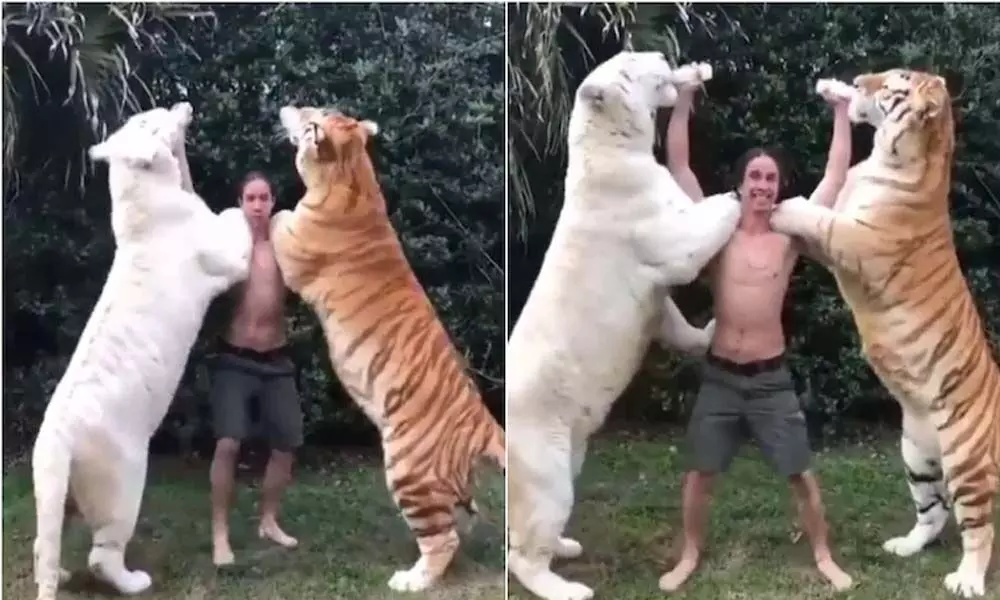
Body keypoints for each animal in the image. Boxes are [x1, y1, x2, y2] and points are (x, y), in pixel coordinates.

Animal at [30, 102, 252, 600]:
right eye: (152, 117)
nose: (181, 104)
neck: (141, 199)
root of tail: (56, 437)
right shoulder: (226, 259)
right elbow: (233, 221)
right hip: (125, 482)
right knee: (103, 553)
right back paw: (134, 582)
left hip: (56, 490)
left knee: (45, 542)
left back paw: (62, 575)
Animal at [270, 104, 504, 592]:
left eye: (309, 111)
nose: (288, 106)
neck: (352, 172)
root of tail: (485, 422)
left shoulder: (291, 247)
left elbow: (278, 218)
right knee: (463, 521)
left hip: (408, 471)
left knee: (441, 539)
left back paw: (412, 580)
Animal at [508, 51, 744, 600]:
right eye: (632, 64)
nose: (660, 54)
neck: (609, 149)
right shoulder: (659, 233)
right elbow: (698, 230)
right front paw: (738, 193)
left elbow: (673, 321)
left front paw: (708, 331)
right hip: (544, 458)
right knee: (526, 546)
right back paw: (567, 587)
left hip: (569, 449)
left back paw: (565, 548)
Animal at [768, 69, 996, 596]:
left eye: (895, 82)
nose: (857, 78)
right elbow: (820, 204)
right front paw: (831, 92)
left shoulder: (857, 239)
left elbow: (817, 216)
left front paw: (783, 206)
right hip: (916, 452)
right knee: (933, 513)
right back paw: (905, 546)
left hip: (968, 463)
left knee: (980, 529)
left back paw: (967, 580)